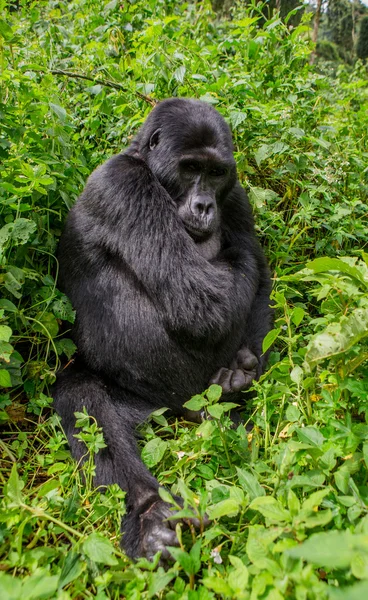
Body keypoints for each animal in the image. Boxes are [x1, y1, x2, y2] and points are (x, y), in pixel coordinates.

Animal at [54, 97, 274, 564]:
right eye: (190, 168)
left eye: (216, 172)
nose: (205, 206)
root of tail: (177, 410)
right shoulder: (124, 185)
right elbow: (204, 300)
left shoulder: (236, 195)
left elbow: (258, 277)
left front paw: (241, 372)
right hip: (144, 402)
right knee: (84, 399)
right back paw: (149, 513)